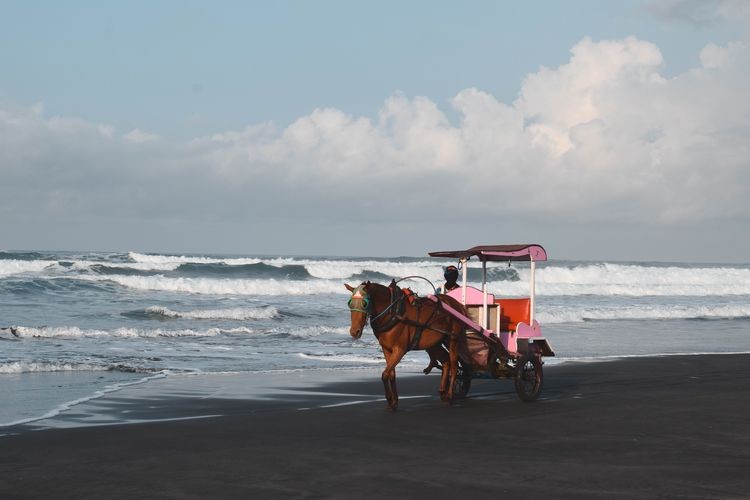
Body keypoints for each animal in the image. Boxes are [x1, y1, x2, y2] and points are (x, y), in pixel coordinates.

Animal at [346, 282, 464, 410]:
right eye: (350, 304)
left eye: (364, 304)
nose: (354, 332)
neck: (393, 312)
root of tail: (457, 304)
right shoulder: (386, 349)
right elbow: (391, 374)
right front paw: (394, 401)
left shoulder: (400, 350)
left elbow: (385, 374)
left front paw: (390, 399)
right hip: (434, 343)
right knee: (446, 361)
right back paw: (443, 391)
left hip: (453, 339)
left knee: (454, 366)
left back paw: (450, 394)